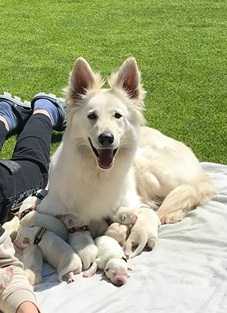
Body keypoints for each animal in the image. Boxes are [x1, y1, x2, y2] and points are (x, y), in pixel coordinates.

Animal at [37, 56, 215, 227]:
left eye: (117, 115)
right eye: (92, 116)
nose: (106, 138)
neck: (98, 174)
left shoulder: (130, 199)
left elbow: (123, 210)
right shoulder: (47, 207)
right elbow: (67, 215)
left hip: (147, 164)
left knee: (191, 190)